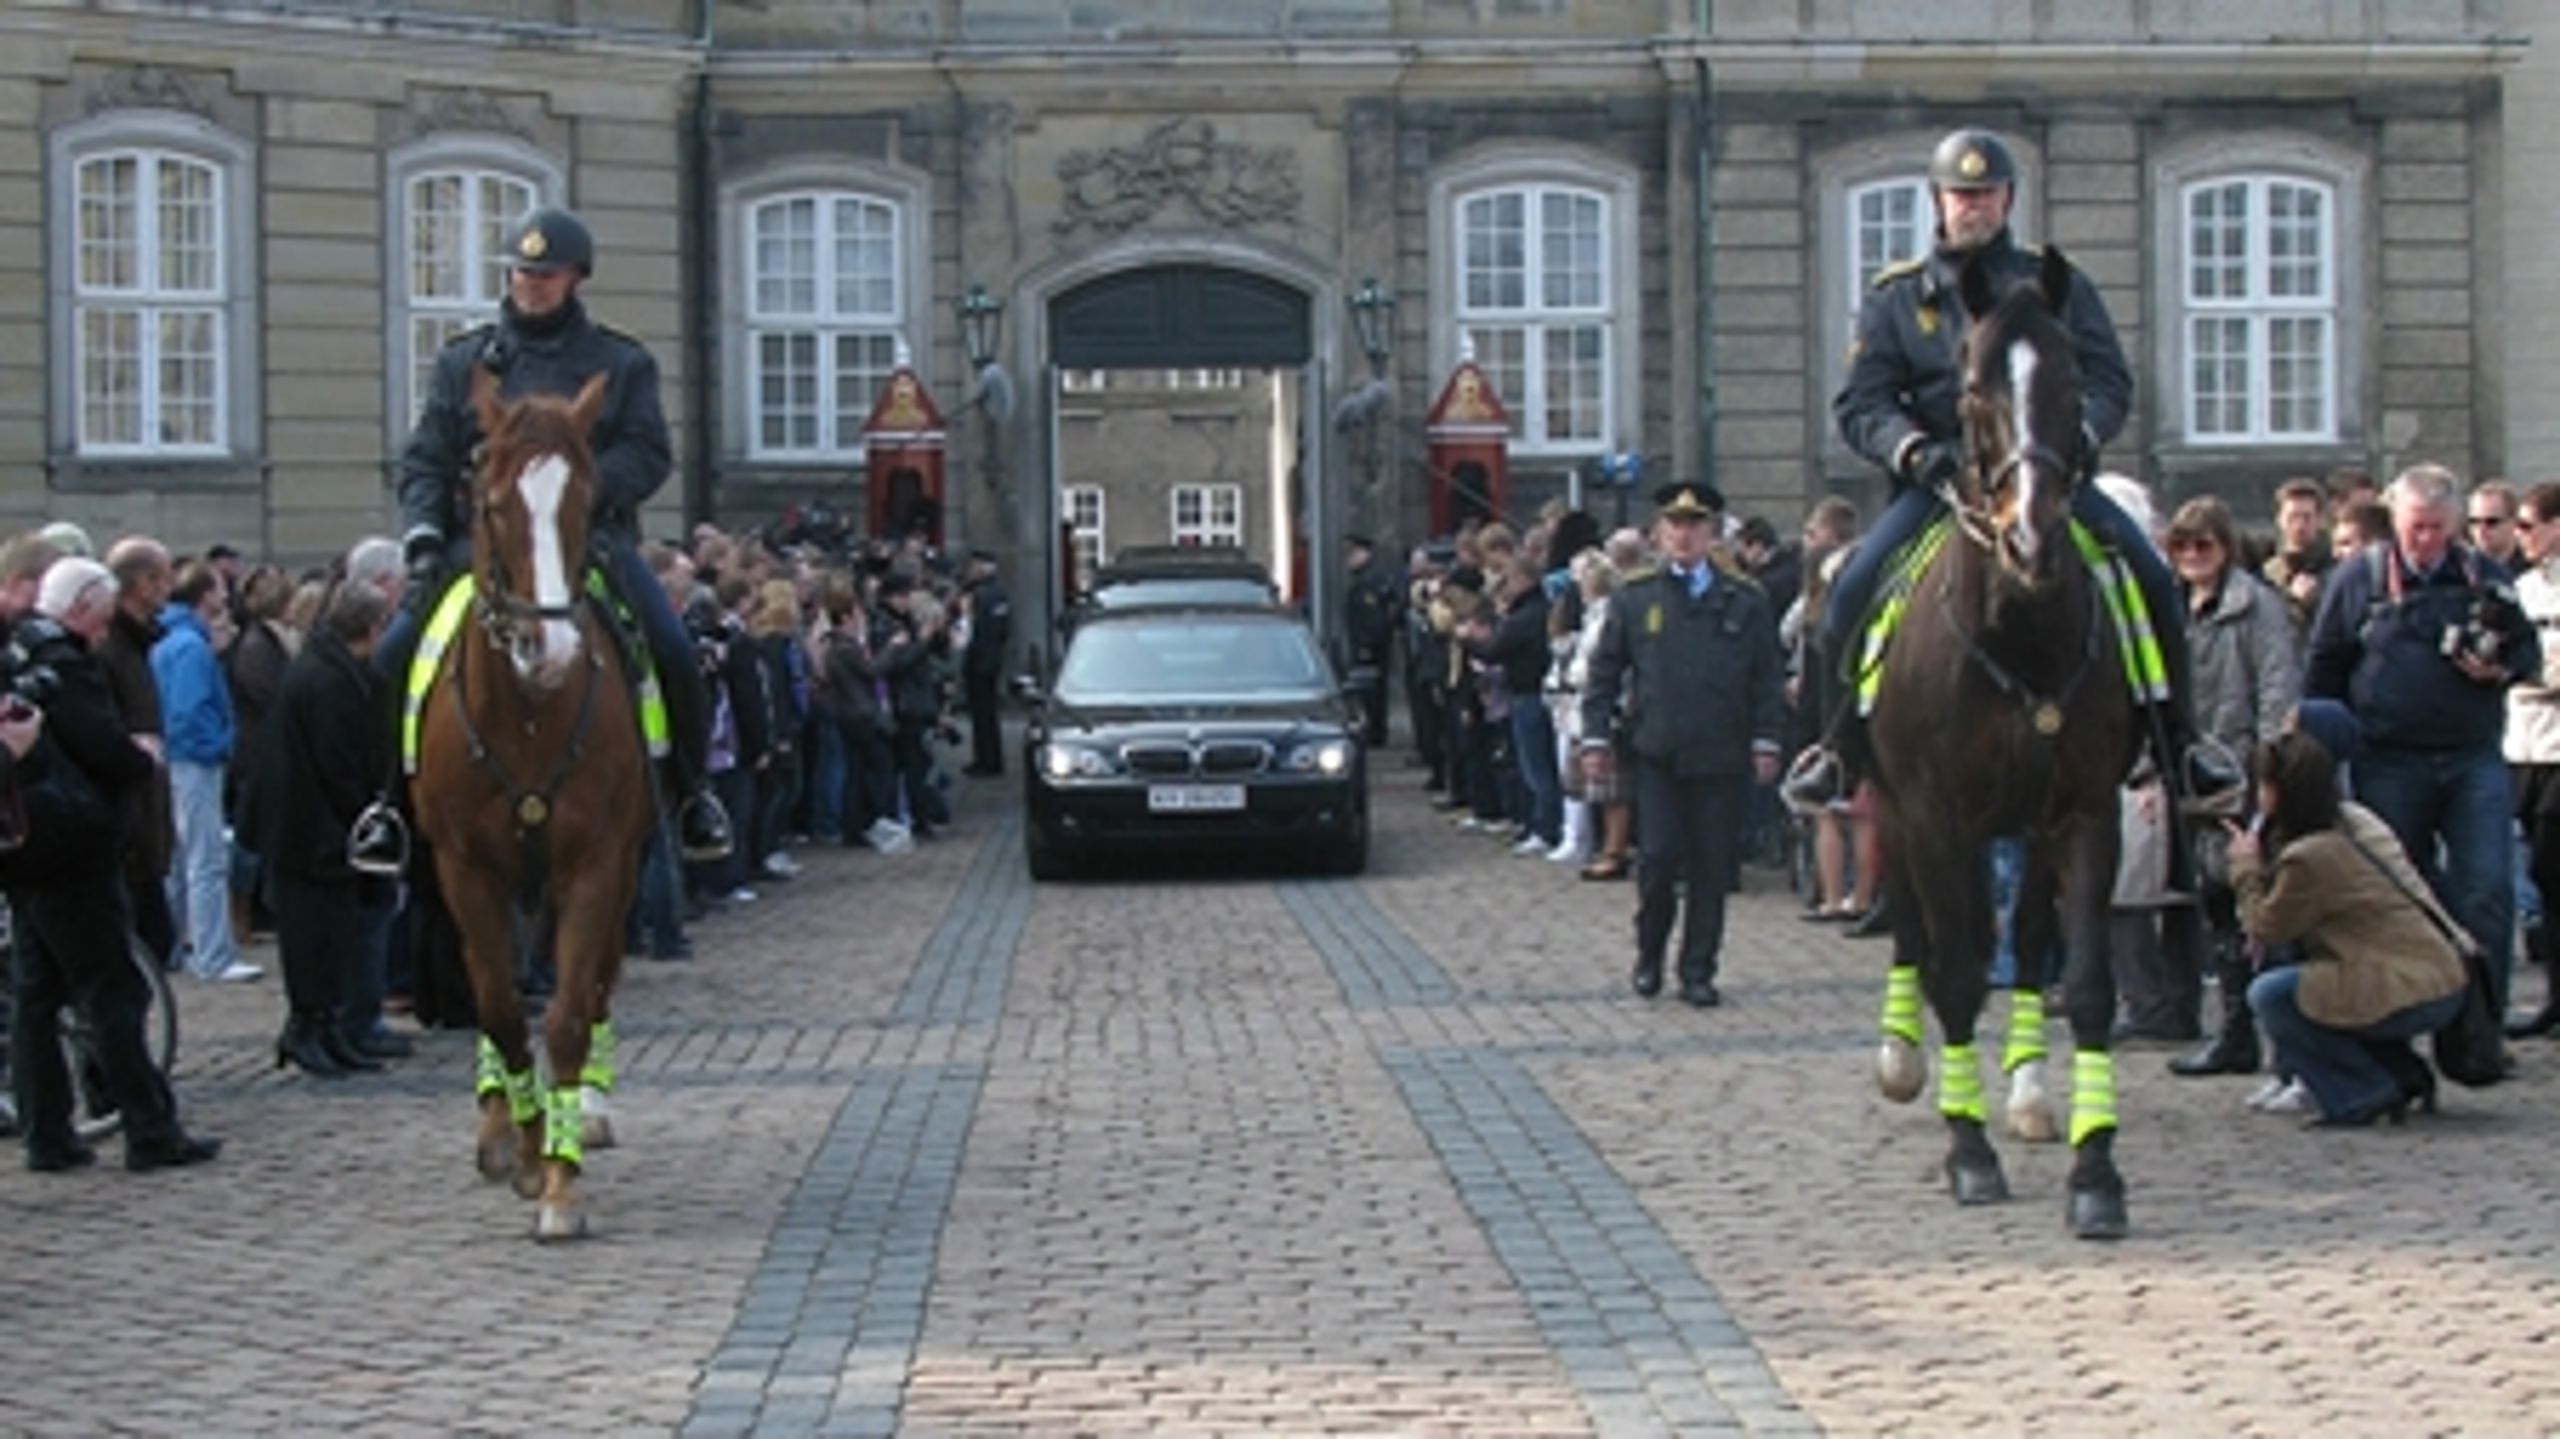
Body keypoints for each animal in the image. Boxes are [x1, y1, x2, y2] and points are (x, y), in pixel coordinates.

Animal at [414, 366, 655, 1234]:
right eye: (488, 501)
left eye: (586, 498)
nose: (548, 649)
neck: (524, 715)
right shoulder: (464, 870)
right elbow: (498, 1007)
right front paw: (520, 1147)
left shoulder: (594, 865)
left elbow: (569, 1012)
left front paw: (559, 1178)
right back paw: (497, 1123)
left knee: (596, 982)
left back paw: (584, 1111)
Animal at [1863, 243, 2140, 1234]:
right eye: (1974, 387)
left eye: (2071, 381)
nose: (2031, 539)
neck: (2017, 632)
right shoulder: (1935, 815)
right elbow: (1953, 971)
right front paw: (1968, 1150)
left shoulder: (2086, 811)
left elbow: (2086, 979)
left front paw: (2096, 1171)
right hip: (1892, 804)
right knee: (1915, 924)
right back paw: (1906, 1060)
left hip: (2025, 824)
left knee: (2022, 935)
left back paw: (2025, 1090)